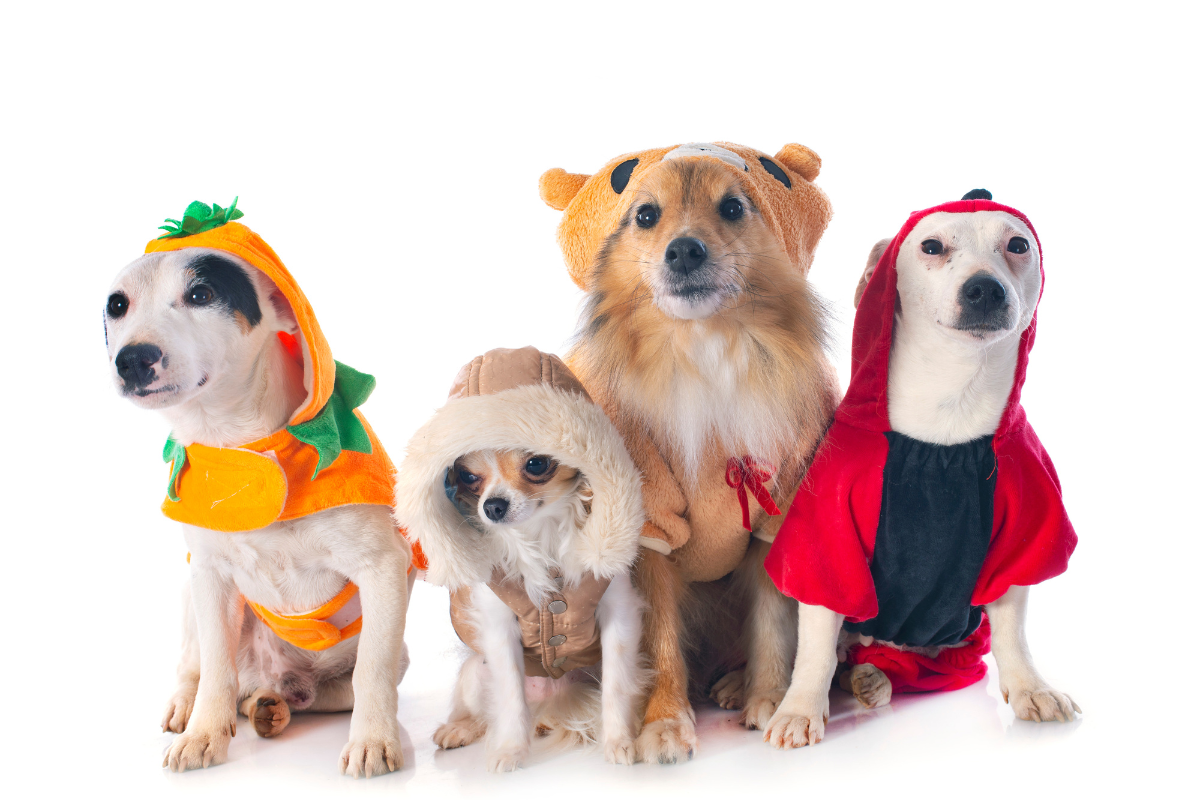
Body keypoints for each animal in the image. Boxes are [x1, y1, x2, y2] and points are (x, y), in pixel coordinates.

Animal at [109, 209, 417, 777]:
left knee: (331, 689)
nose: (133, 358)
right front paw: (203, 734)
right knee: (201, 666)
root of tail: (277, 677)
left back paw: (270, 706)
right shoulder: (208, 575)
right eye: (117, 304)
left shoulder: (384, 566)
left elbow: (372, 671)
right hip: (190, 595)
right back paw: (197, 705)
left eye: (201, 294)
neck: (239, 441)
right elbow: (215, 667)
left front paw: (372, 741)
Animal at [540, 143, 840, 762]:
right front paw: (665, 721)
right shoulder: (650, 530)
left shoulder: (774, 514)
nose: (683, 249)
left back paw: (736, 682)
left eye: (733, 208)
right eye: (645, 215)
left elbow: (772, 624)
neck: (706, 351)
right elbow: (661, 643)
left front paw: (770, 697)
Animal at [763, 195, 1084, 753]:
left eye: (1018, 245)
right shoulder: (827, 540)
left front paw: (1030, 687)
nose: (984, 288)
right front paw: (800, 708)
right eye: (931, 247)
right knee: (843, 648)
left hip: (958, 643)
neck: (951, 399)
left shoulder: (1022, 533)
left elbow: (1013, 633)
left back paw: (874, 677)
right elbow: (817, 644)